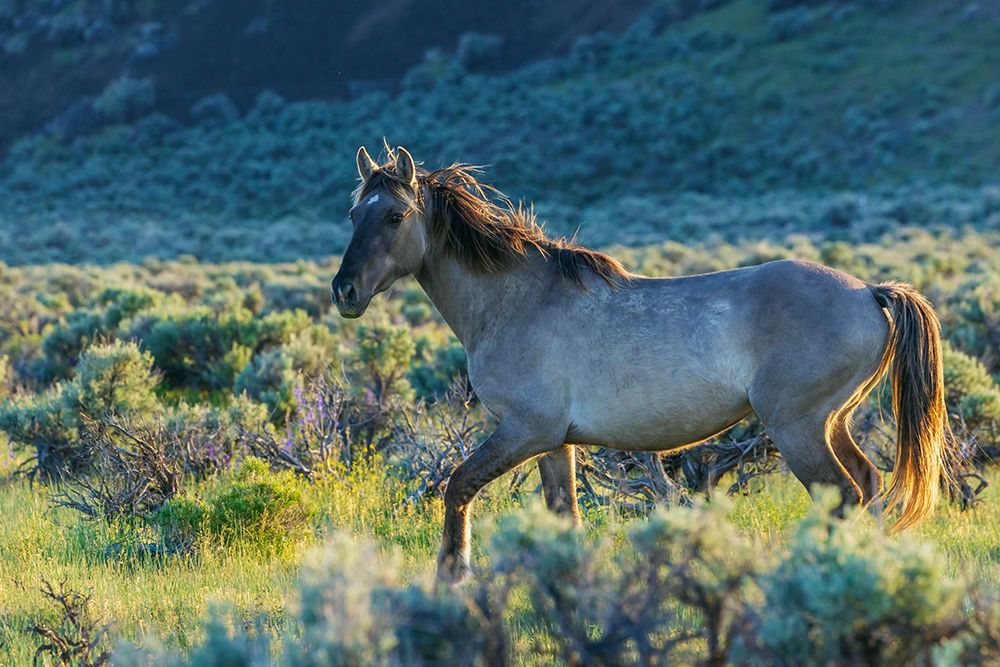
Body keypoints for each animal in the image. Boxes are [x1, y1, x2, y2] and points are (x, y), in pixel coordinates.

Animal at [331, 145, 949, 584]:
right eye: (353, 214)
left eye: (394, 216)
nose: (345, 290)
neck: (517, 299)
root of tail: (869, 292)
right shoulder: (554, 442)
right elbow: (563, 516)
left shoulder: (523, 431)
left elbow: (458, 486)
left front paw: (452, 577)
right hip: (831, 421)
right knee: (868, 484)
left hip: (799, 427)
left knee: (841, 495)